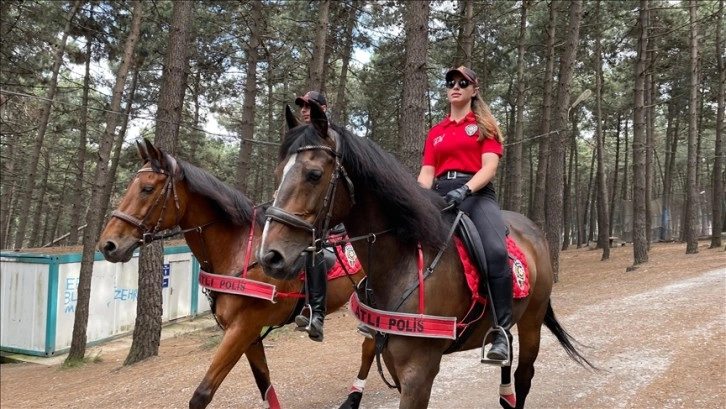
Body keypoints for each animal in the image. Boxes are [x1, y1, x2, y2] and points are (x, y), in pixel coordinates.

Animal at [97, 139, 376, 408]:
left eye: (147, 189)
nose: (108, 245)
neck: (240, 252)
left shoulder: (242, 328)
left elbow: (201, 395)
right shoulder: (248, 334)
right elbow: (266, 386)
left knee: (370, 346)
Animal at [258, 106, 596, 408]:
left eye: (314, 174)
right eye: (276, 173)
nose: (271, 256)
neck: (402, 263)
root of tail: (533, 230)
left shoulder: (419, 371)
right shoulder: (392, 359)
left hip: (532, 321)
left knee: (524, 374)